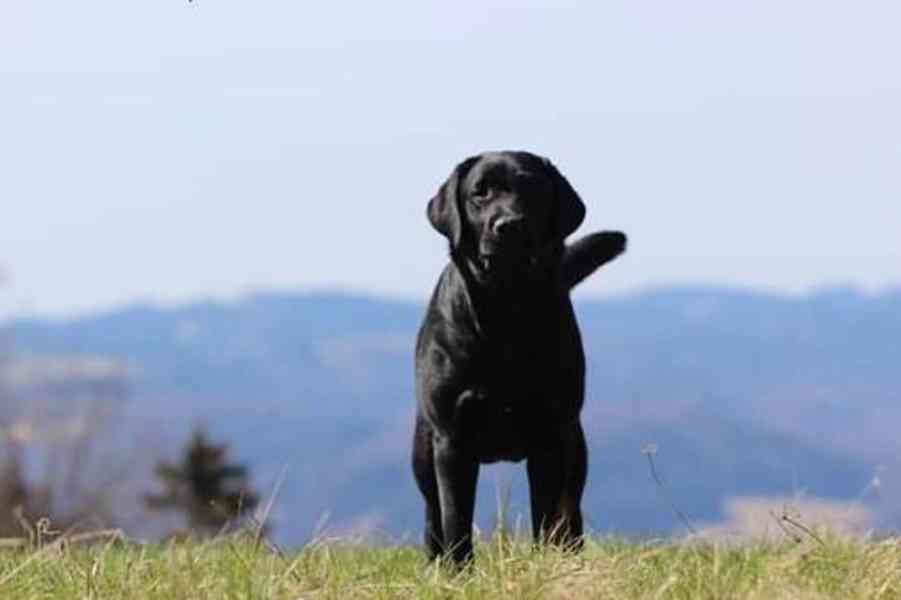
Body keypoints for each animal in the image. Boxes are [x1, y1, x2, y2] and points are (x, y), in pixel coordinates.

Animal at [414, 150, 624, 564]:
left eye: (533, 187)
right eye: (480, 192)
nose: (508, 224)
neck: (506, 312)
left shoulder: (550, 437)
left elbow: (547, 518)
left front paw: (546, 566)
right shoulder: (452, 441)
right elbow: (456, 522)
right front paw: (459, 572)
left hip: (576, 449)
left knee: (570, 512)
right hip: (424, 455)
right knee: (433, 515)